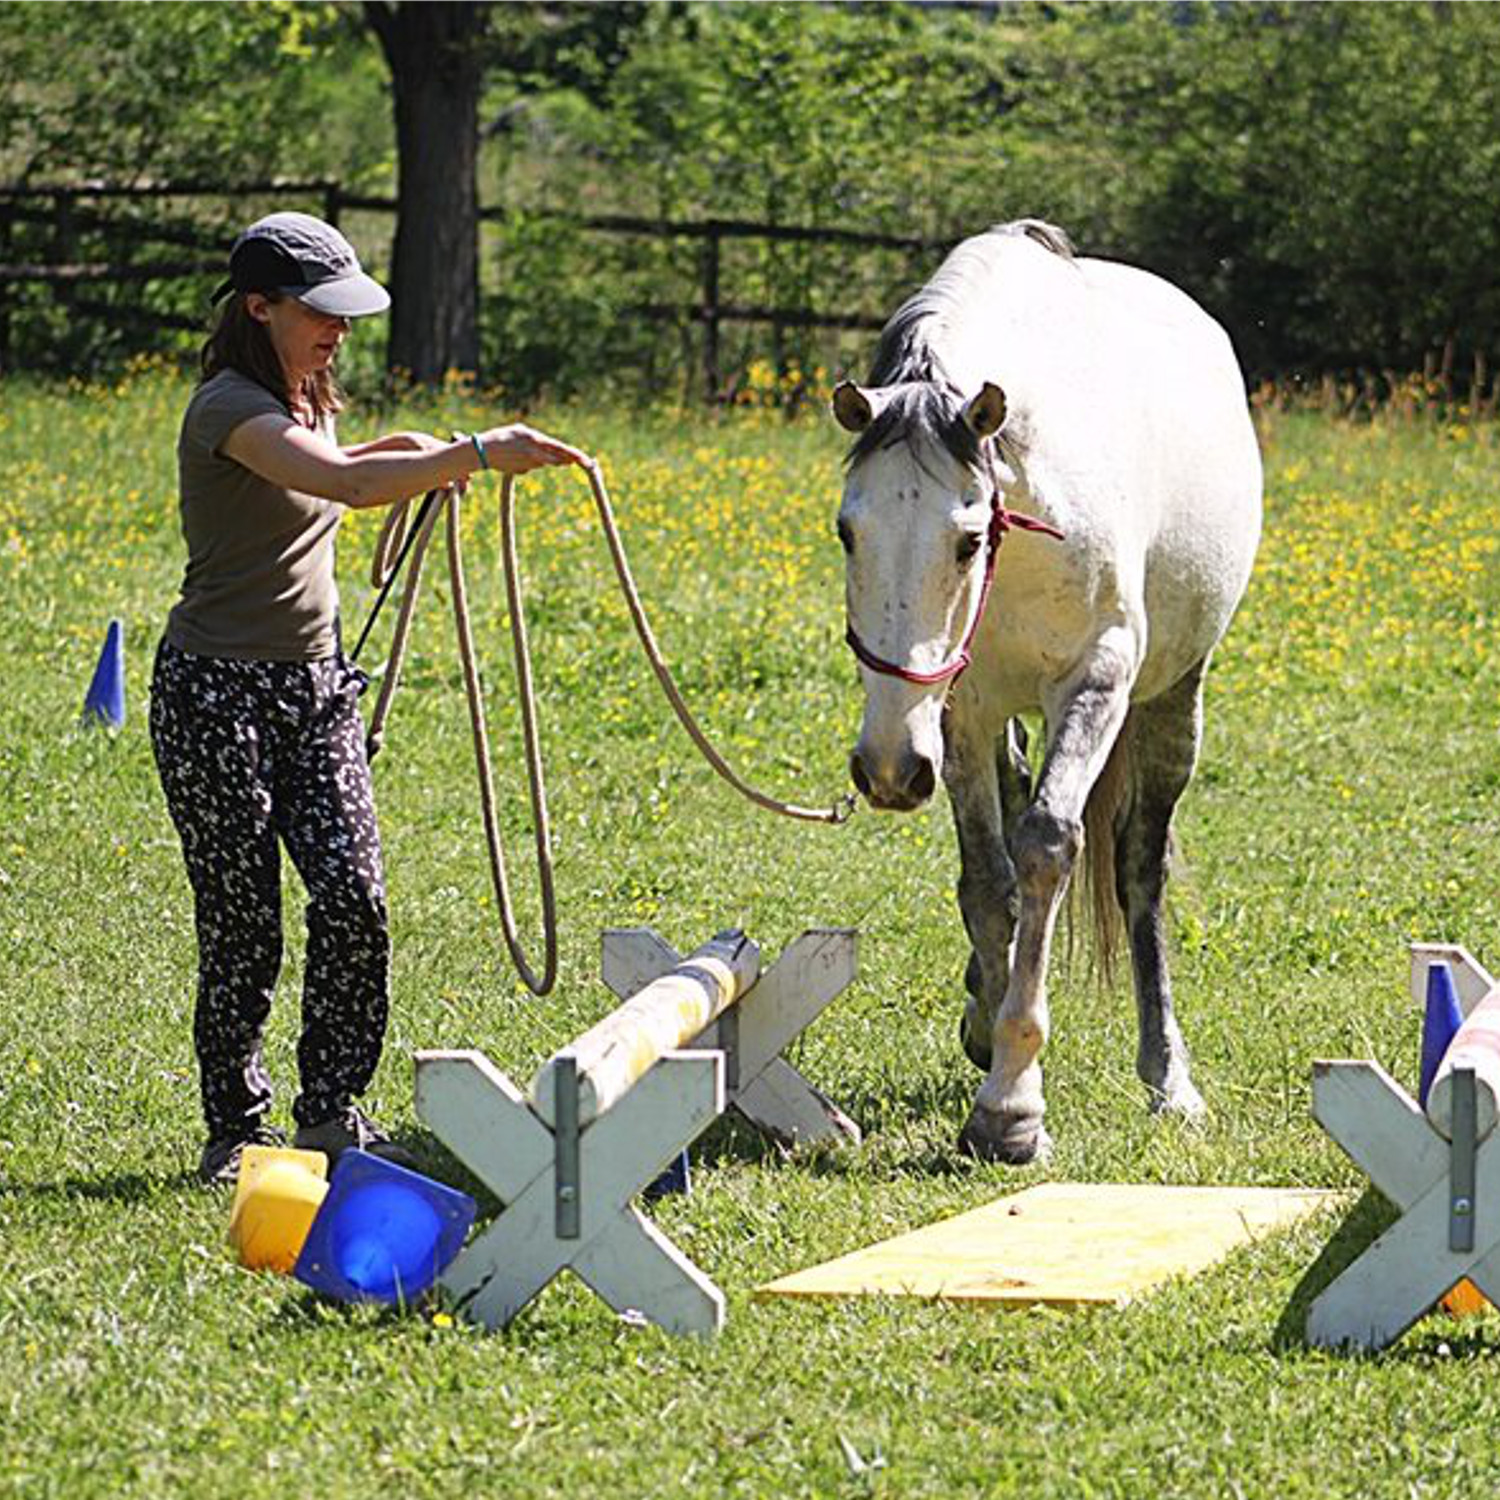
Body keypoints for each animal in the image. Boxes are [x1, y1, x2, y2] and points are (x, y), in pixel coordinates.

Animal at [840, 219, 1260, 1158]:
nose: (885, 769)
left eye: (968, 538)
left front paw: (1010, 1106)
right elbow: (986, 877)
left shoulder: (1095, 683)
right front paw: (988, 1029)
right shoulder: (958, 709)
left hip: (1171, 704)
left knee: (1138, 870)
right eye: (847, 530)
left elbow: (1046, 847)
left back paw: (1169, 1079)